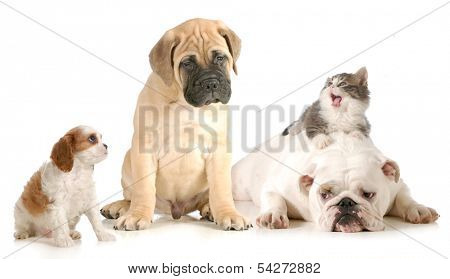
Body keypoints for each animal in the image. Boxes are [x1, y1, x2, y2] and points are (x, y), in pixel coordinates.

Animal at [100, 18, 250, 232]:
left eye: (220, 58)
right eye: (187, 64)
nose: (211, 83)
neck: (185, 103)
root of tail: (177, 210)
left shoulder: (219, 149)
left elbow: (221, 188)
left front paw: (228, 214)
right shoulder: (144, 147)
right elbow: (144, 189)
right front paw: (137, 215)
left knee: (207, 198)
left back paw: (210, 209)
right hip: (129, 160)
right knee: (133, 196)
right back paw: (120, 207)